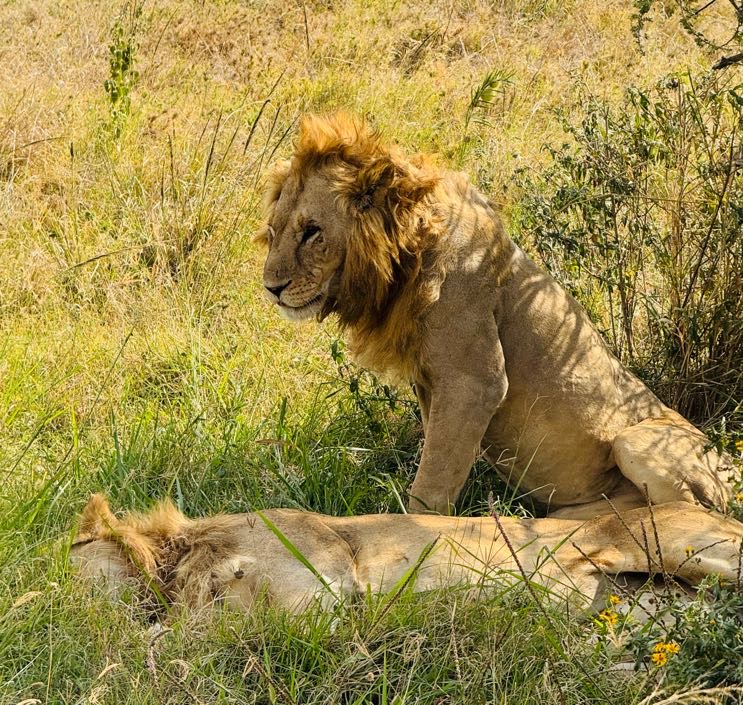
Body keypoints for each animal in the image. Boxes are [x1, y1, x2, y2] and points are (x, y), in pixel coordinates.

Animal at [256, 112, 737, 517]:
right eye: (274, 231)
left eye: (312, 232)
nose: (271, 288)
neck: (408, 255)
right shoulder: (433, 386)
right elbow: (441, 457)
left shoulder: (475, 381)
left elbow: (432, 483)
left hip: (634, 442)